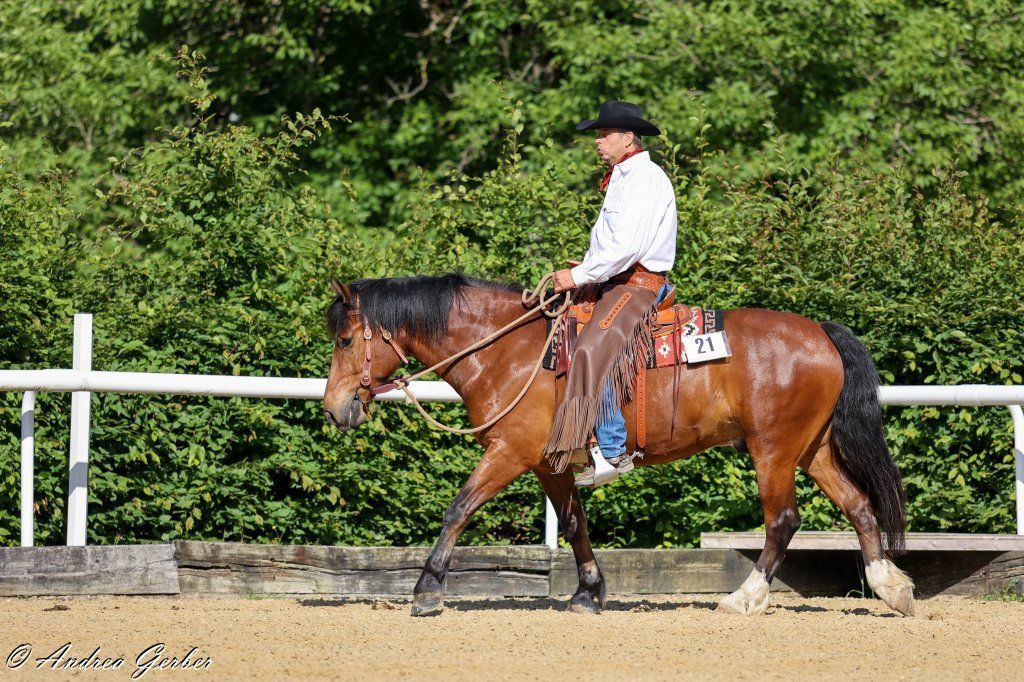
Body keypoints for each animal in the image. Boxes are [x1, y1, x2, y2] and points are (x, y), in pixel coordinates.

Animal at [323, 273, 915, 617]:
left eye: (346, 339)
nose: (334, 409)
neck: (510, 350)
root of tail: (820, 332)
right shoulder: (550, 464)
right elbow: (575, 524)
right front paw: (588, 592)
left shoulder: (509, 452)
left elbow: (459, 507)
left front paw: (427, 590)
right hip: (812, 448)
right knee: (860, 505)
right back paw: (891, 588)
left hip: (773, 449)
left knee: (783, 520)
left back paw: (744, 598)